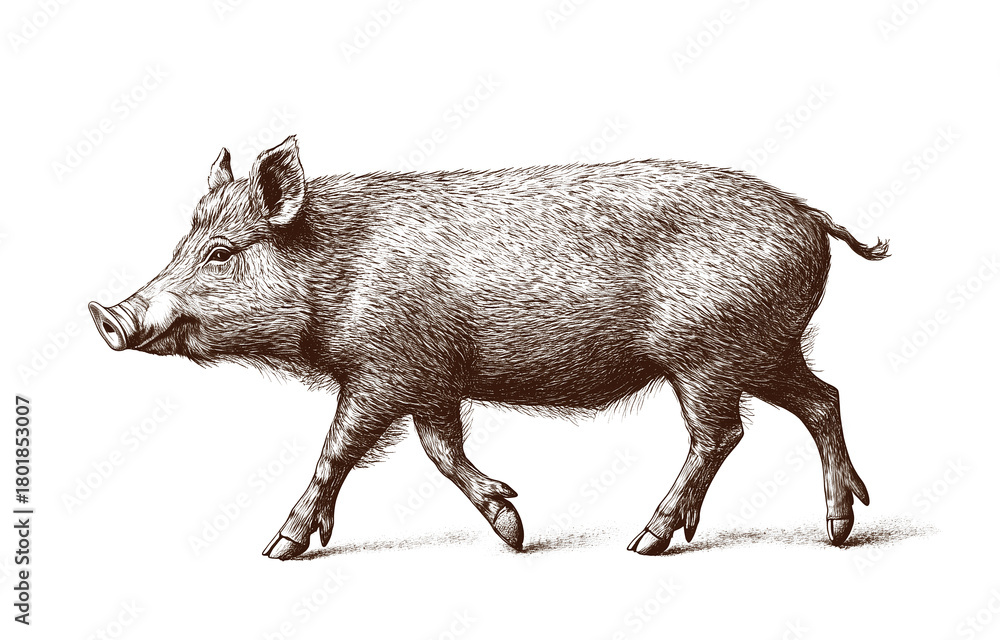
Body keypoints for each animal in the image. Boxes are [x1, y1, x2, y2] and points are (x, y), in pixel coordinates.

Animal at [89, 135, 888, 560]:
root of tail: (808, 213)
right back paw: (839, 530)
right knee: (824, 398)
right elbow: (441, 450)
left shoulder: (385, 368)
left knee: (722, 433)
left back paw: (644, 542)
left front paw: (277, 550)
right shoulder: (432, 380)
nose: (106, 315)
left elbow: (337, 449)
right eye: (180, 247)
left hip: (709, 354)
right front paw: (513, 529)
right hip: (764, 349)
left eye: (221, 253)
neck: (334, 272)